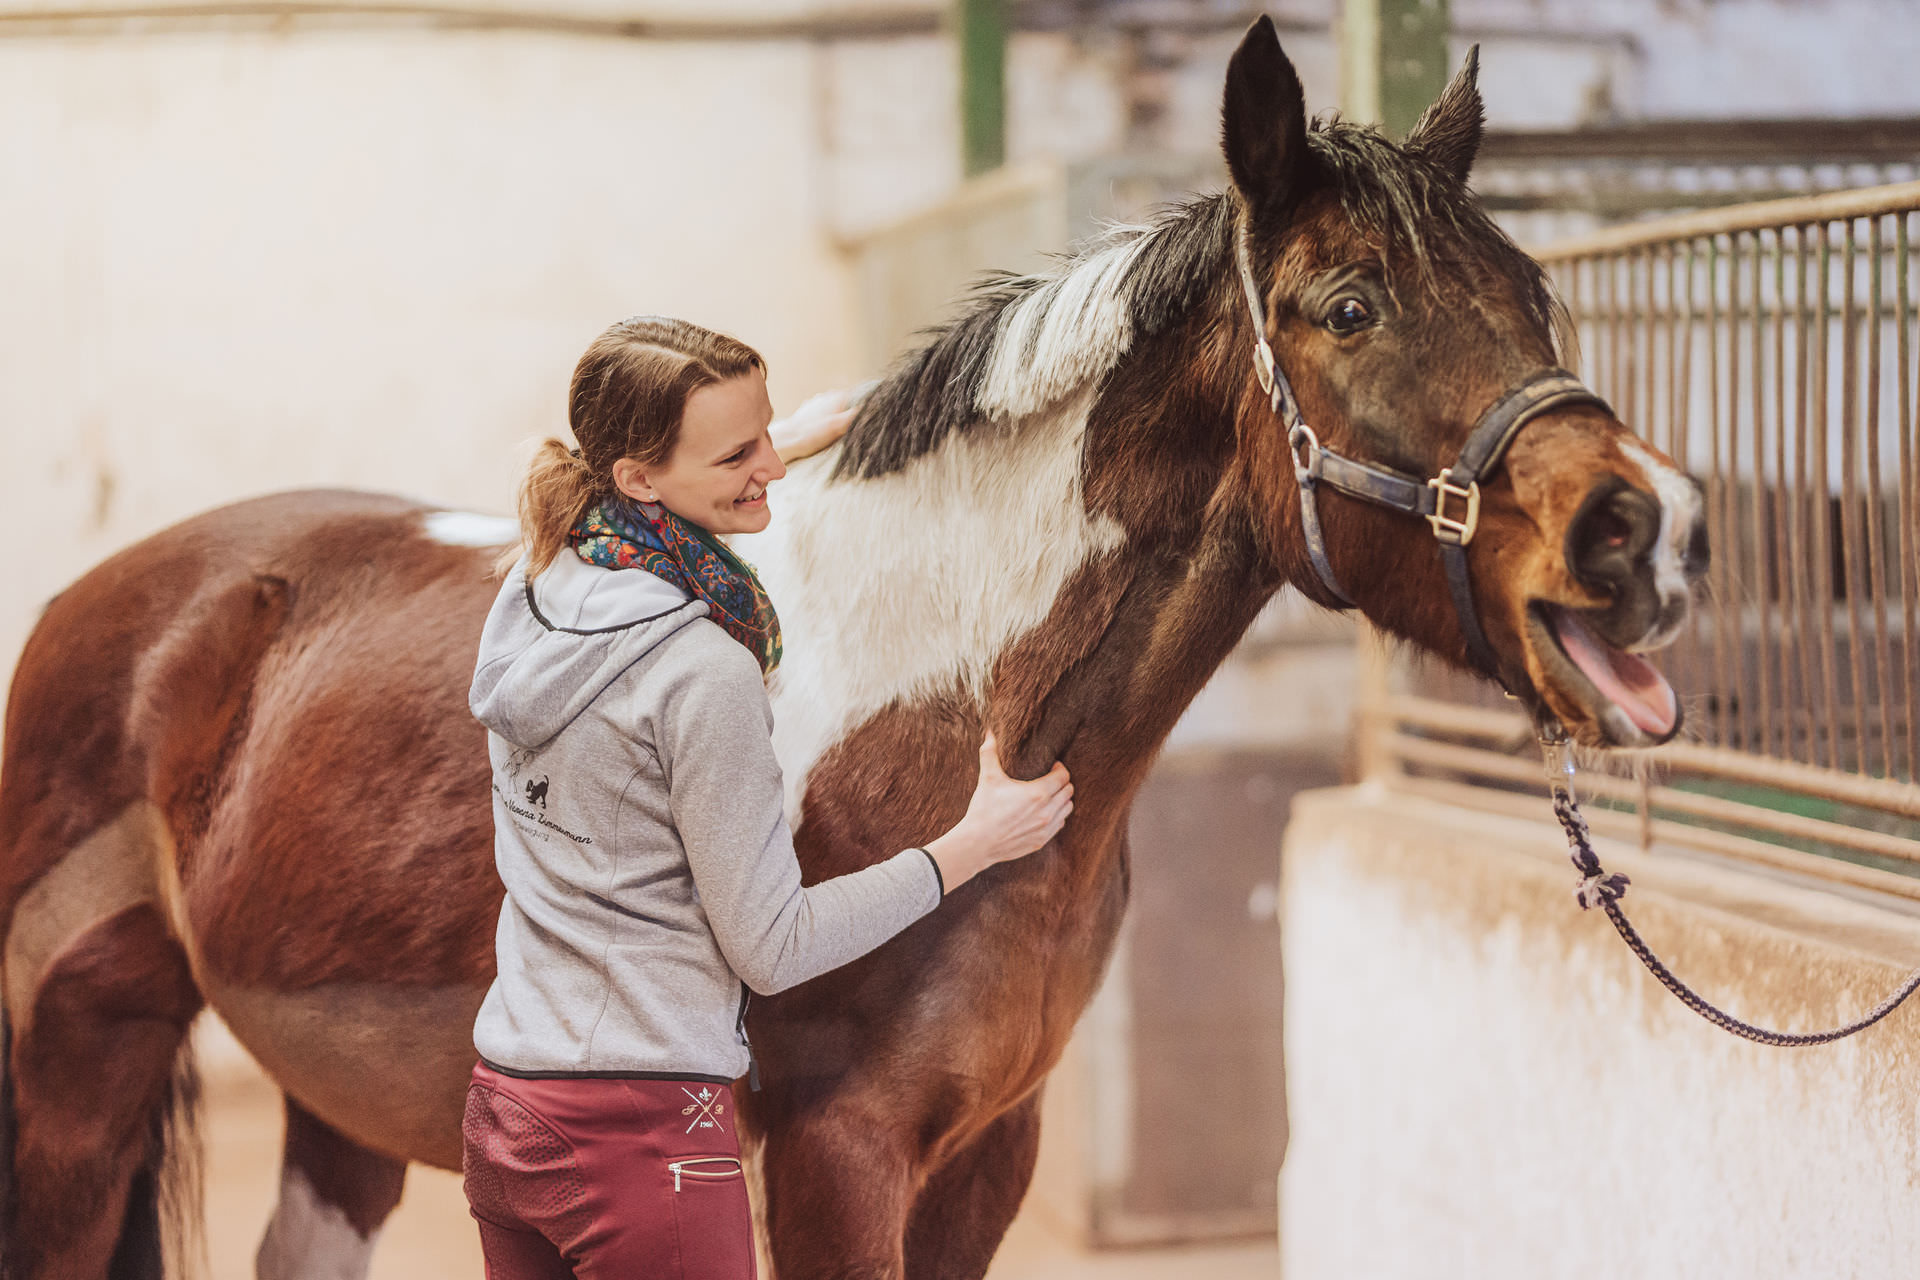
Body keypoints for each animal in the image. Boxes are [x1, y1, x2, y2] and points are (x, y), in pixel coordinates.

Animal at [0, 18, 1707, 1280]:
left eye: (1533, 293)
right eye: (1347, 306)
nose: (1648, 530)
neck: (958, 724)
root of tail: (118, 603)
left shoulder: (987, 1154)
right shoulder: (835, 1155)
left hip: (338, 1097)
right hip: (74, 1070)